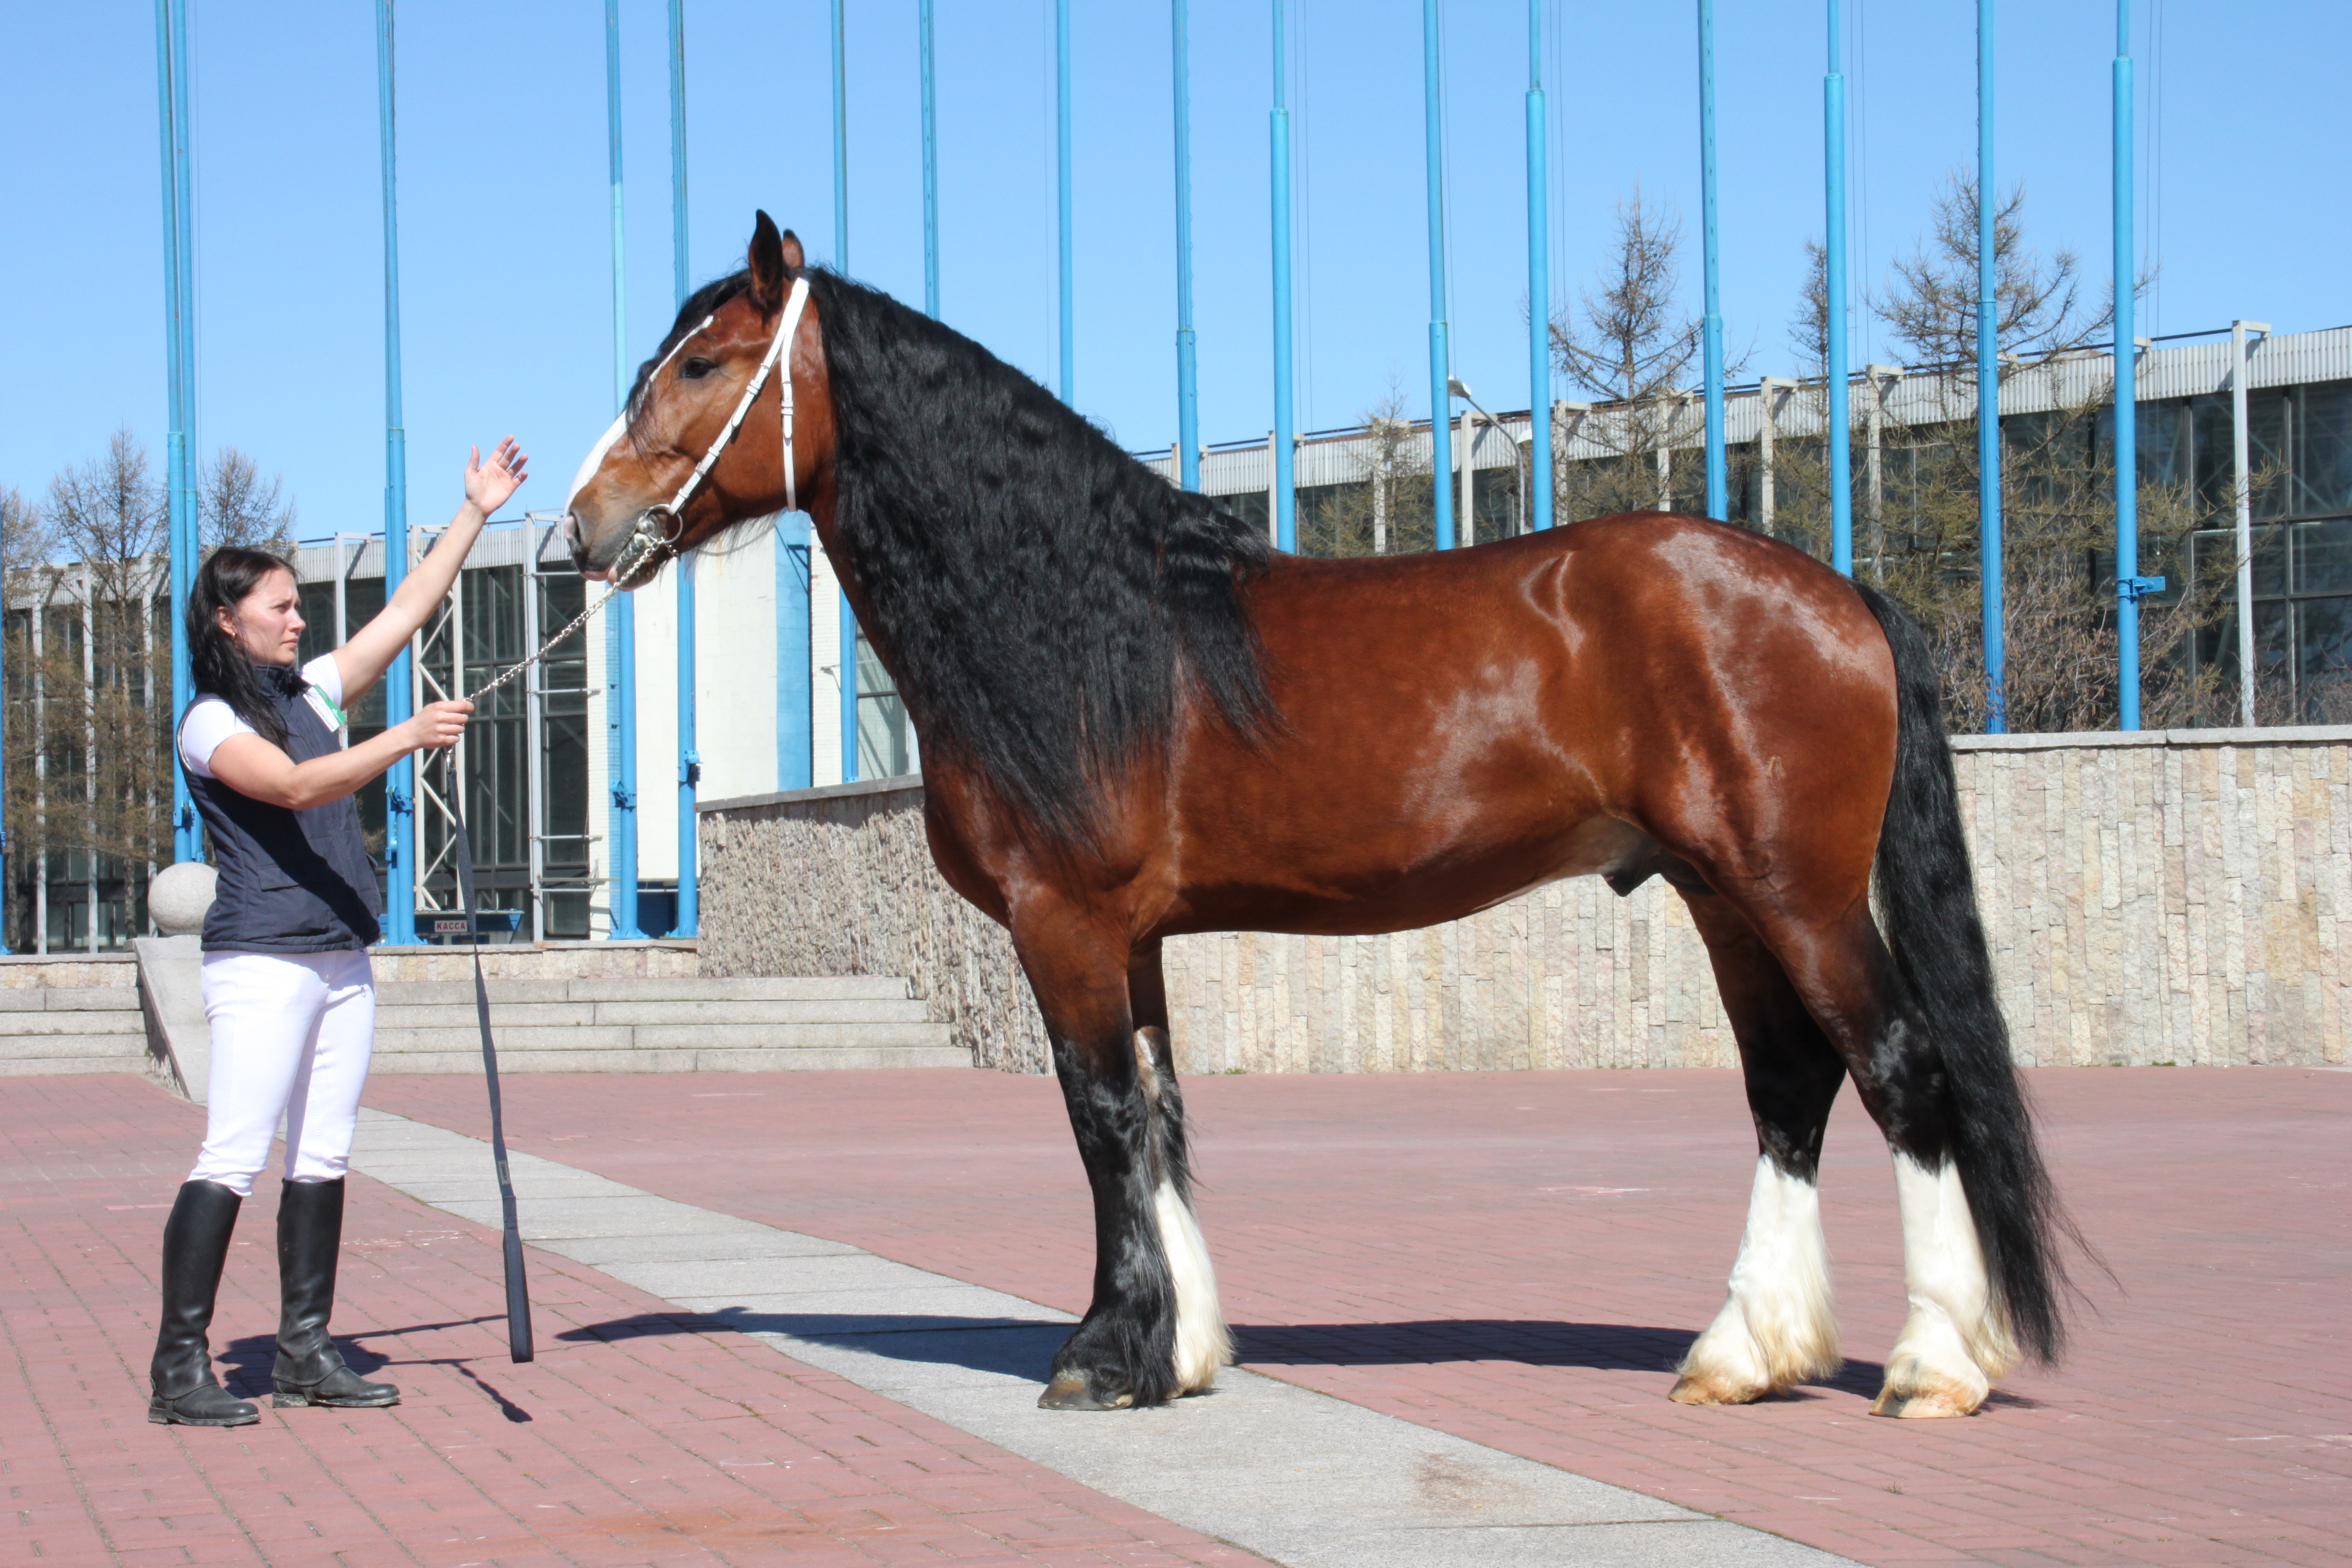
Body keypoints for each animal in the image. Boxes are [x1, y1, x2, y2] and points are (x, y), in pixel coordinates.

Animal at [564, 215, 2079, 1429]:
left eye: (702, 365)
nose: (583, 527)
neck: (1085, 623)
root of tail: (1840, 594)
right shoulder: (1135, 936)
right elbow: (1161, 1117)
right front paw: (1181, 1352)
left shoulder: (1065, 923)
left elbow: (1099, 1118)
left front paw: (1102, 1355)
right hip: (1724, 896)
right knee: (1790, 1088)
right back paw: (1743, 1352)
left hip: (1795, 894)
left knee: (1903, 1077)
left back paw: (1932, 1366)